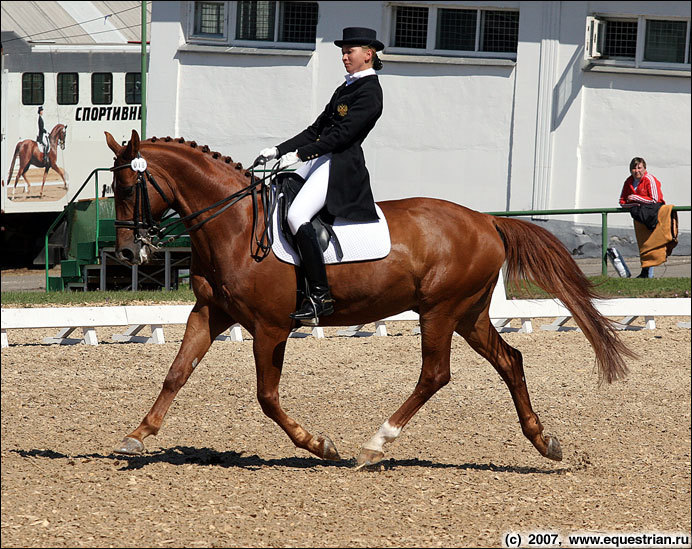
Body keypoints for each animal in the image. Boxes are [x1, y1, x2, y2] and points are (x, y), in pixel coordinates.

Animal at [107, 130, 632, 466]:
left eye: (130, 187)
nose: (129, 252)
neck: (235, 226)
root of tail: (486, 219)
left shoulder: (271, 327)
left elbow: (267, 397)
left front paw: (320, 444)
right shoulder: (210, 313)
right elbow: (176, 374)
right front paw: (137, 436)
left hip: (440, 310)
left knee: (435, 374)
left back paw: (375, 444)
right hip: (468, 314)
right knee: (510, 360)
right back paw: (545, 442)